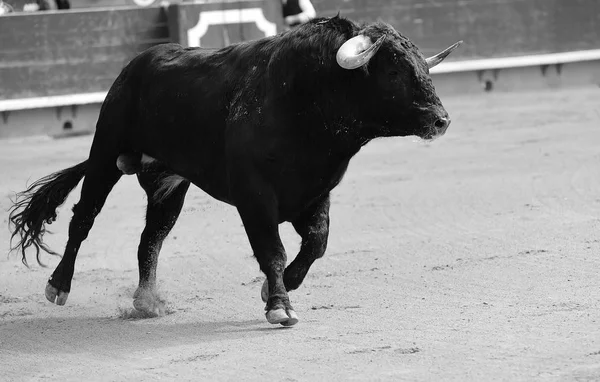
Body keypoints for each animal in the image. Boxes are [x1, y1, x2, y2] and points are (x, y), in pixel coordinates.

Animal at [8, 14, 460, 326]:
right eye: (395, 70)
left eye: (424, 66)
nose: (442, 121)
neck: (309, 99)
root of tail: (138, 64)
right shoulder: (254, 197)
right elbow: (272, 251)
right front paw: (279, 306)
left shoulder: (315, 194)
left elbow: (316, 244)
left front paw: (274, 290)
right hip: (105, 154)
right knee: (83, 219)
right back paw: (58, 287)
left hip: (169, 184)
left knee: (150, 237)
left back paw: (146, 302)